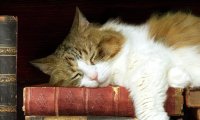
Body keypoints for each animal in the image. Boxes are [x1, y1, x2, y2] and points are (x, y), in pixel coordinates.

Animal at [30, 7, 200, 120]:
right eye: (77, 75)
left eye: (93, 57)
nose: (94, 76)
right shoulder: (153, 65)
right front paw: (182, 78)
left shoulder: (150, 62)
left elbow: (145, 99)